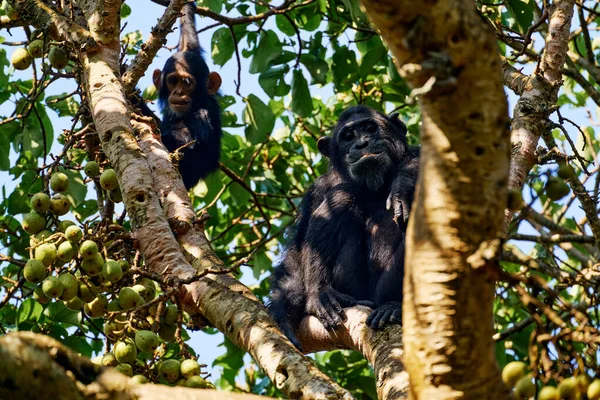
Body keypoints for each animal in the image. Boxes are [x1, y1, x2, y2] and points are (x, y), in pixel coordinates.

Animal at [152, 1, 223, 189]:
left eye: (187, 83)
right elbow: (188, 39)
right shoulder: (189, 49)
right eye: (173, 81)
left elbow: (184, 143)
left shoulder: (203, 114)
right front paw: (186, 6)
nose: (178, 92)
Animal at [270, 104, 420, 348]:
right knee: (342, 194)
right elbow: (297, 248)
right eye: (348, 136)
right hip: (352, 288)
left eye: (370, 128)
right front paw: (284, 316)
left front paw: (403, 186)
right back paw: (322, 296)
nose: (362, 143)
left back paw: (393, 308)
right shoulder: (318, 189)